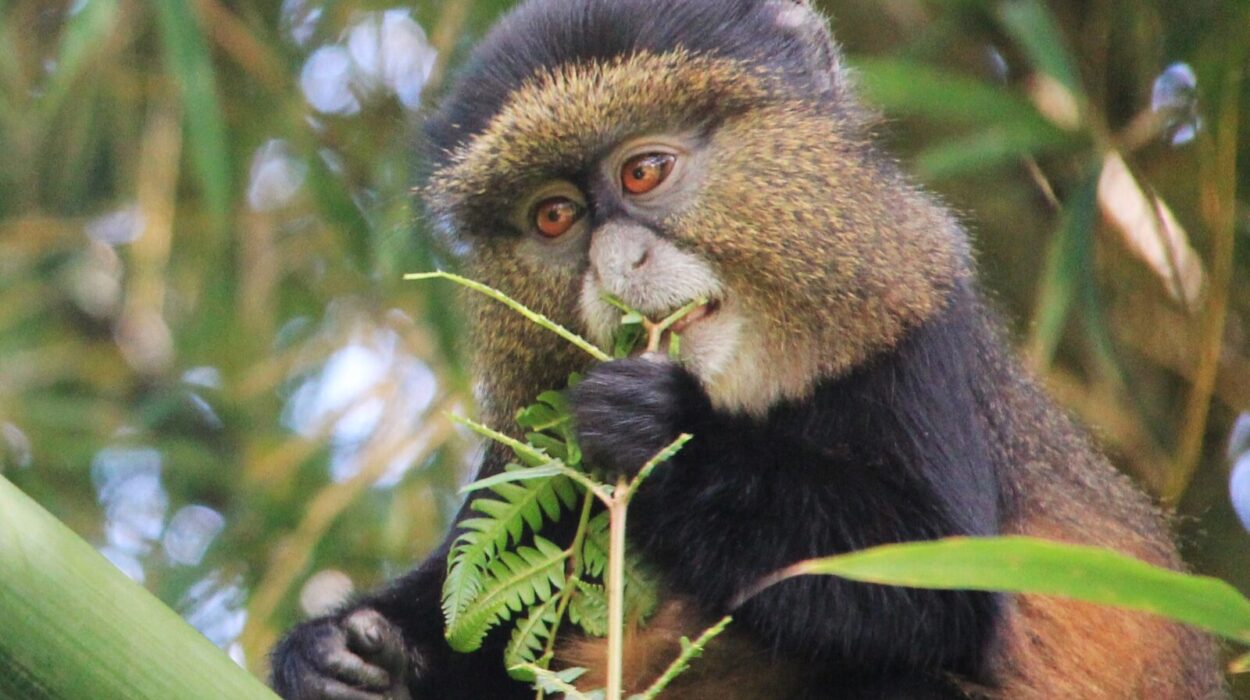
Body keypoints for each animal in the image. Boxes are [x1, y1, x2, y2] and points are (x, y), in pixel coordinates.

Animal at [269, 1, 1224, 698]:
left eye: (643, 171)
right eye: (555, 217)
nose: (616, 265)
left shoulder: (918, 340)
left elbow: (934, 585)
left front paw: (659, 430)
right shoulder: (528, 447)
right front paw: (340, 657)